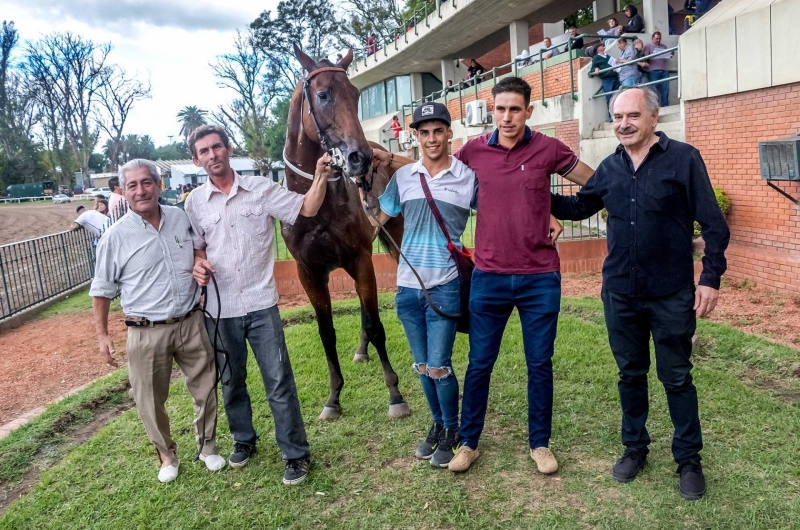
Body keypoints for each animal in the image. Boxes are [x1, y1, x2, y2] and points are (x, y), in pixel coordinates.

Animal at [280, 43, 406, 418]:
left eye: (356, 93)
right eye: (323, 95)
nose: (359, 157)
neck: (316, 205)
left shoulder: (360, 259)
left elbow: (376, 326)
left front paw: (395, 394)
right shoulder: (309, 273)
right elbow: (327, 333)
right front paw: (333, 398)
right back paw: (361, 352)